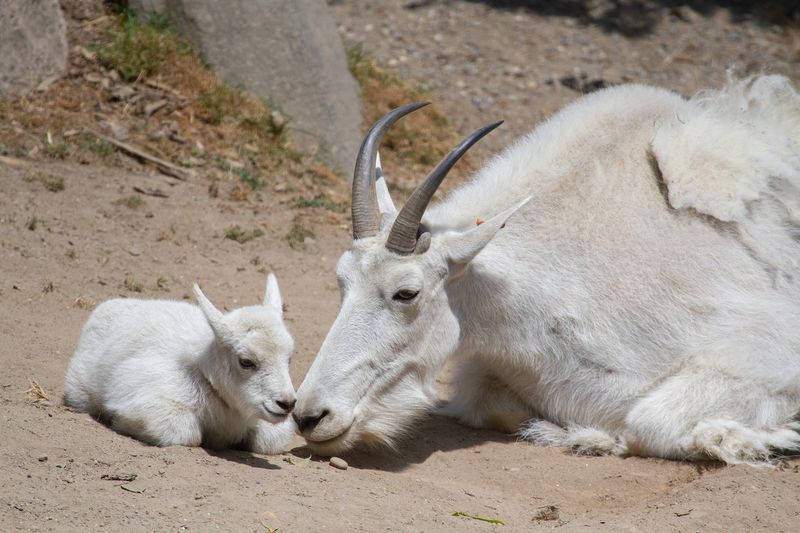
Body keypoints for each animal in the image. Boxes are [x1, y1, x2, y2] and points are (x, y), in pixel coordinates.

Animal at [65, 274, 296, 454]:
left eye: (289, 358)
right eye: (246, 362)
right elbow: (188, 434)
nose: (287, 403)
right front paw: (118, 422)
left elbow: (268, 440)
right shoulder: (147, 402)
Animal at [294, 74, 800, 462]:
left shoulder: (764, 351)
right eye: (341, 282)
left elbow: (648, 422)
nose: (309, 416)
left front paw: (774, 436)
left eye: (406, 292)